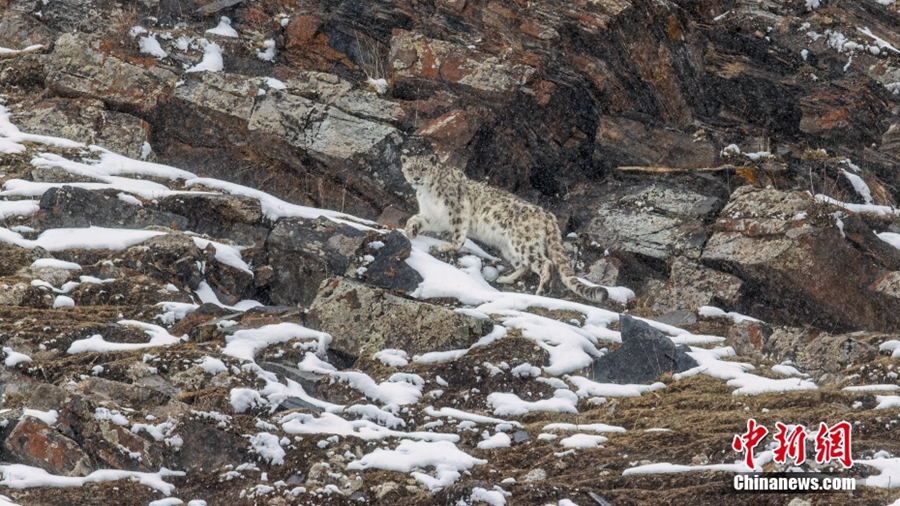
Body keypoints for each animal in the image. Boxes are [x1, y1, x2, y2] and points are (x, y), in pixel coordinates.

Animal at [402, 150, 608, 300]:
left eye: (424, 168)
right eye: (410, 169)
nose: (416, 178)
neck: (426, 193)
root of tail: (548, 214)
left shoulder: (457, 208)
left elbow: (459, 234)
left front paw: (447, 246)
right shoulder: (433, 216)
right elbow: (415, 219)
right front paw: (410, 231)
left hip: (523, 242)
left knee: (544, 262)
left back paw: (541, 290)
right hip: (508, 247)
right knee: (524, 265)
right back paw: (506, 278)